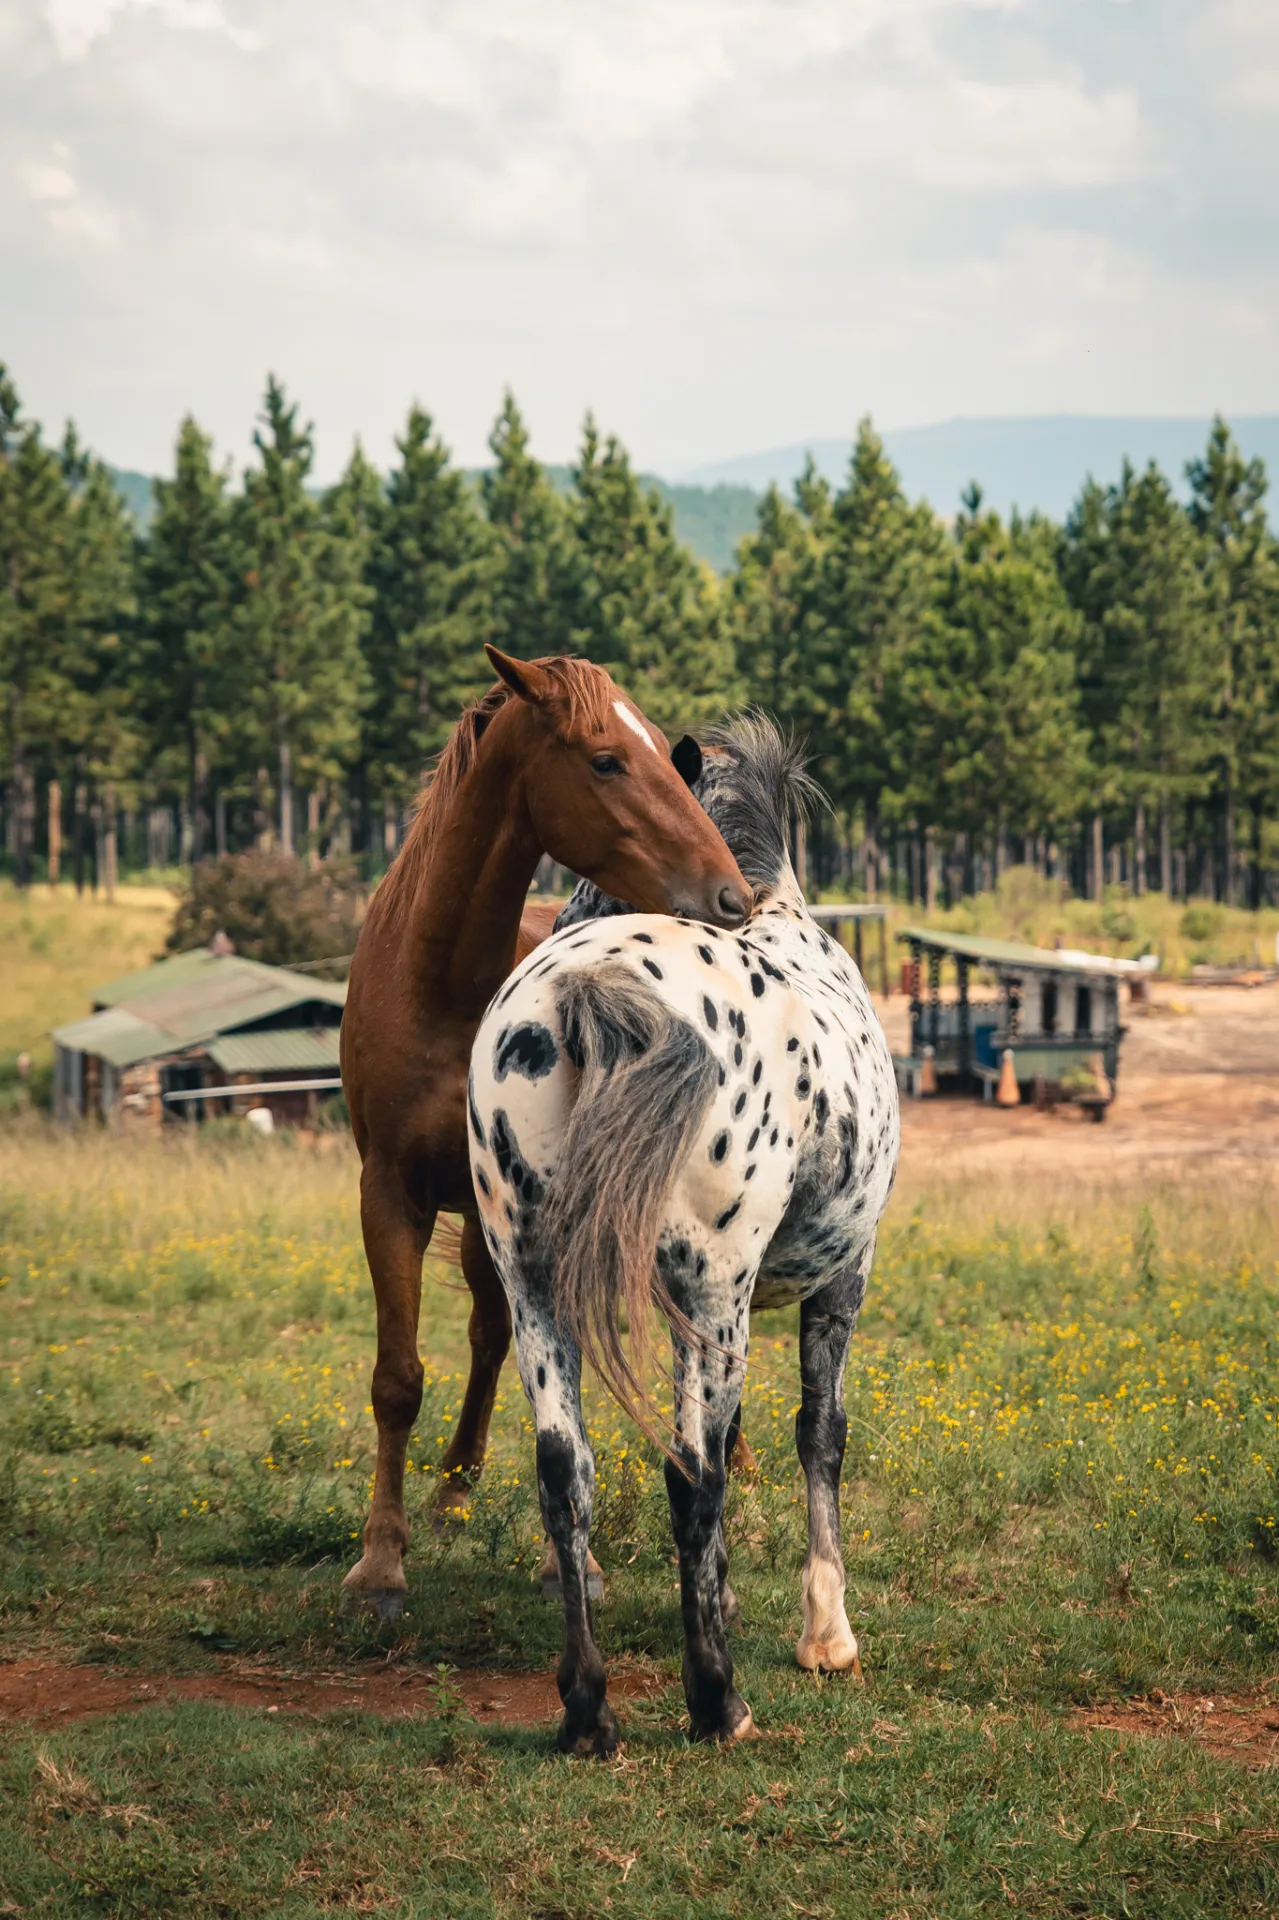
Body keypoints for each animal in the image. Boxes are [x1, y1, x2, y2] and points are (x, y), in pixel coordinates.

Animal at [339, 647, 753, 1621]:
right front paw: (380, 1561)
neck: (443, 990)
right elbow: (397, 1378)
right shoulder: (389, 1194)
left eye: (665, 756)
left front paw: (575, 1563)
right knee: (488, 1334)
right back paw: (453, 1487)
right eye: (605, 760)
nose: (731, 897)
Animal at [466, 717, 900, 1752]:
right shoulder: (837, 1281)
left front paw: (726, 1599)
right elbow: (816, 1434)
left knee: (563, 1470)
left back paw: (587, 1709)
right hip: (714, 1289)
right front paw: (825, 1632)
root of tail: (590, 987)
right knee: (690, 1474)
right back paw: (717, 1700)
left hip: (534, 1283)